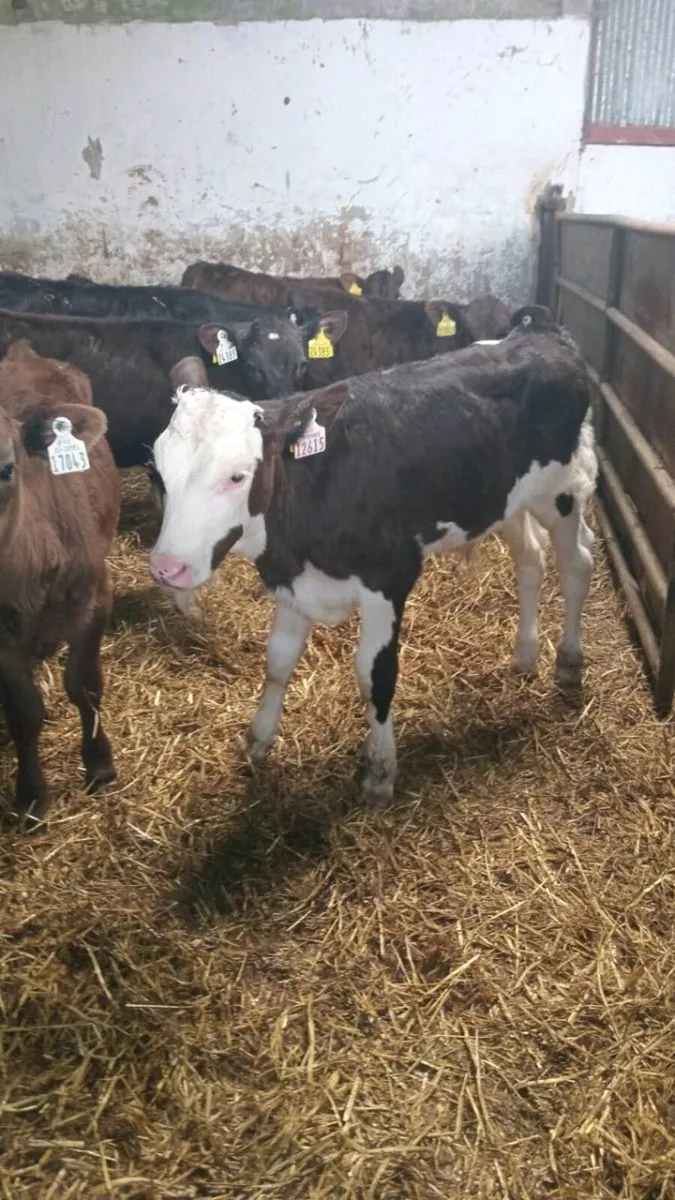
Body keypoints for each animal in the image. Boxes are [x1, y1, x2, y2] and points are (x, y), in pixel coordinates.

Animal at [148, 306, 597, 802]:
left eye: (237, 476)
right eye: (159, 471)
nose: (167, 567)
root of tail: (540, 329)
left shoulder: (389, 578)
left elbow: (374, 674)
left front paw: (380, 772)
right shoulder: (293, 581)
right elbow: (278, 660)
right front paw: (257, 740)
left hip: (563, 490)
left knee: (576, 563)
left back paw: (568, 663)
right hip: (507, 499)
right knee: (531, 560)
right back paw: (524, 654)